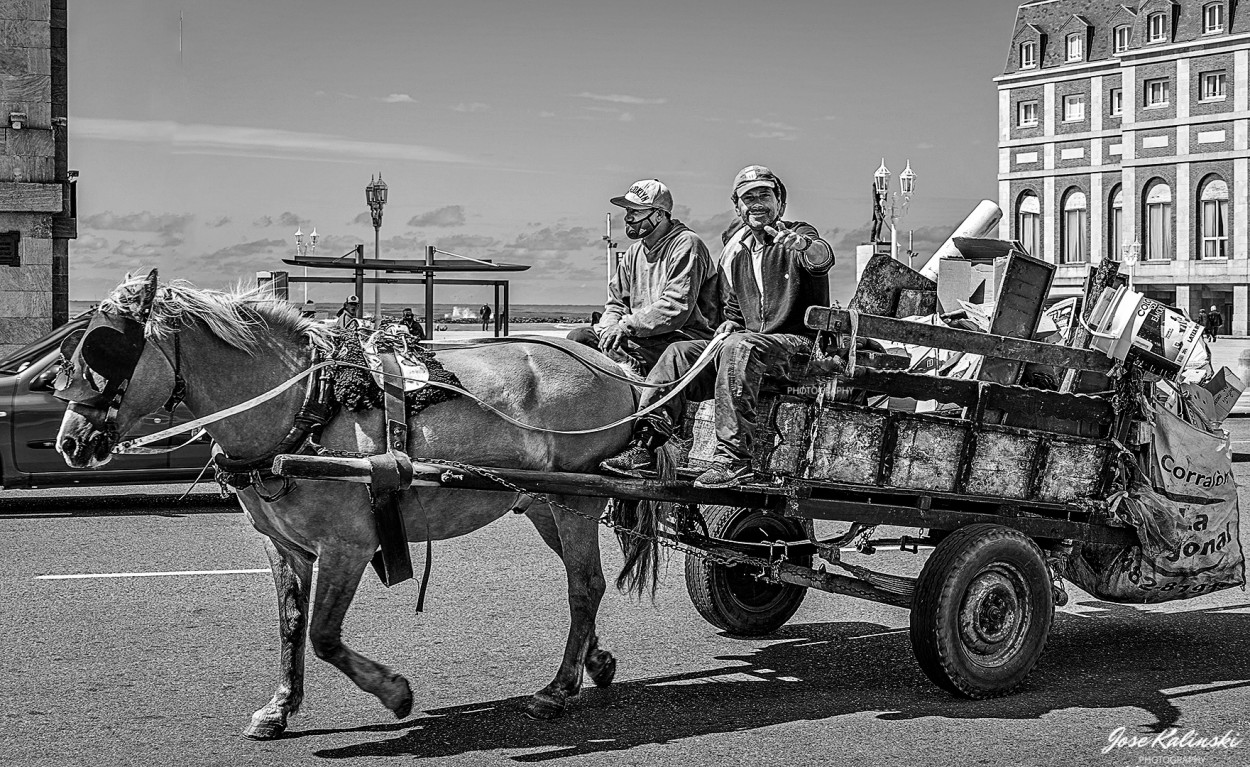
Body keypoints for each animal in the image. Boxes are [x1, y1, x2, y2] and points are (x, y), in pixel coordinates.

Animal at [53, 273, 660, 744]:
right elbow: (291, 623)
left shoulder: (348, 544)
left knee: (584, 585)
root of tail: (611, 365)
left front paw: (394, 692)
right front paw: (280, 706)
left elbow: (323, 633)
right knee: (586, 581)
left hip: (575, 499)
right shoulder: (284, 546)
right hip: (542, 503)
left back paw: (557, 689)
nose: (71, 443)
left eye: (108, 353)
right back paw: (592, 663)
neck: (305, 405)